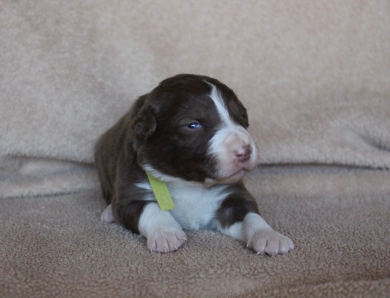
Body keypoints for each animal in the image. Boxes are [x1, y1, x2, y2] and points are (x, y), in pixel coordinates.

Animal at [94, 73, 294, 255]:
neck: (190, 183)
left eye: (241, 118)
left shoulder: (232, 193)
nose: (244, 150)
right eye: (193, 125)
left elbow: (250, 215)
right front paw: (166, 233)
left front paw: (269, 235)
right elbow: (149, 209)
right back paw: (109, 213)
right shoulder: (131, 190)